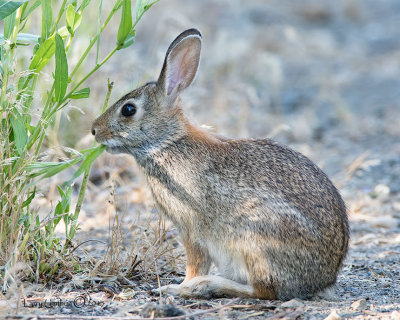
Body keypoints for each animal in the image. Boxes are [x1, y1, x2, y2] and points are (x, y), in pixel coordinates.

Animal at [92, 28, 348, 300]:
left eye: (128, 110)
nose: (94, 130)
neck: (167, 142)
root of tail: (321, 280)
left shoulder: (191, 229)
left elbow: (195, 262)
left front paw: (180, 286)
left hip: (255, 236)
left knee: (264, 290)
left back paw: (207, 284)